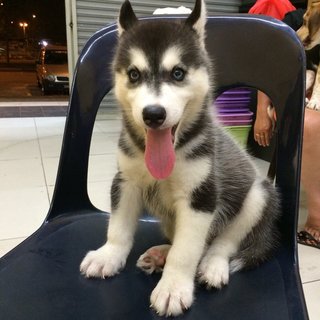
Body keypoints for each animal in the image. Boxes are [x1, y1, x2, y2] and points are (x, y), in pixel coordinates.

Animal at [80, 0, 280, 316]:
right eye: (134, 74)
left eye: (177, 73)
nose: (153, 114)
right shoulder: (125, 182)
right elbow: (119, 227)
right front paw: (108, 255)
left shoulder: (200, 197)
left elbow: (186, 252)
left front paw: (173, 287)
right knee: (188, 240)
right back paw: (161, 254)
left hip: (258, 197)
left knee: (221, 242)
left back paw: (212, 265)